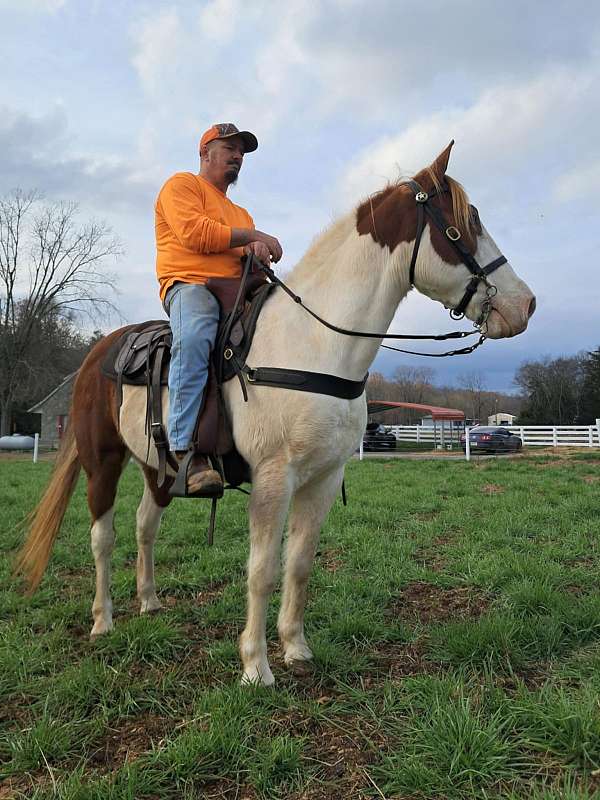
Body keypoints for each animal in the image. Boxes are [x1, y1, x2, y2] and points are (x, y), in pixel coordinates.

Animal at [16, 142, 536, 680]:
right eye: (464, 225)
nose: (526, 305)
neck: (315, 343)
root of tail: (96, 355)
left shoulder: (323, 478)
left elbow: (300, 565)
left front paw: (296, 647)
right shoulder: (273, 477)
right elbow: (262, 570)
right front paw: (255, 666)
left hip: (157, 465)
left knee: (145, 525)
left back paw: (150, 601)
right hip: (102, 460)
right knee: (103, 536)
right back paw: (103, 620)